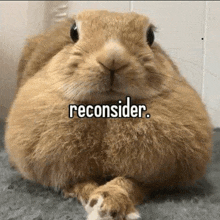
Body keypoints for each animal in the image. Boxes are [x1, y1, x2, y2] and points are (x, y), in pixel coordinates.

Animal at [4, 9, 212, 220]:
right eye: (74, 32)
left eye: (150, 36)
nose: (113, 58)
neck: (107, 108)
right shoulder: (66, 171)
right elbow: (82, 185)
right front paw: (94, 202)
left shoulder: (149, 176)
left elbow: (128, 183)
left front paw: (111, 204)